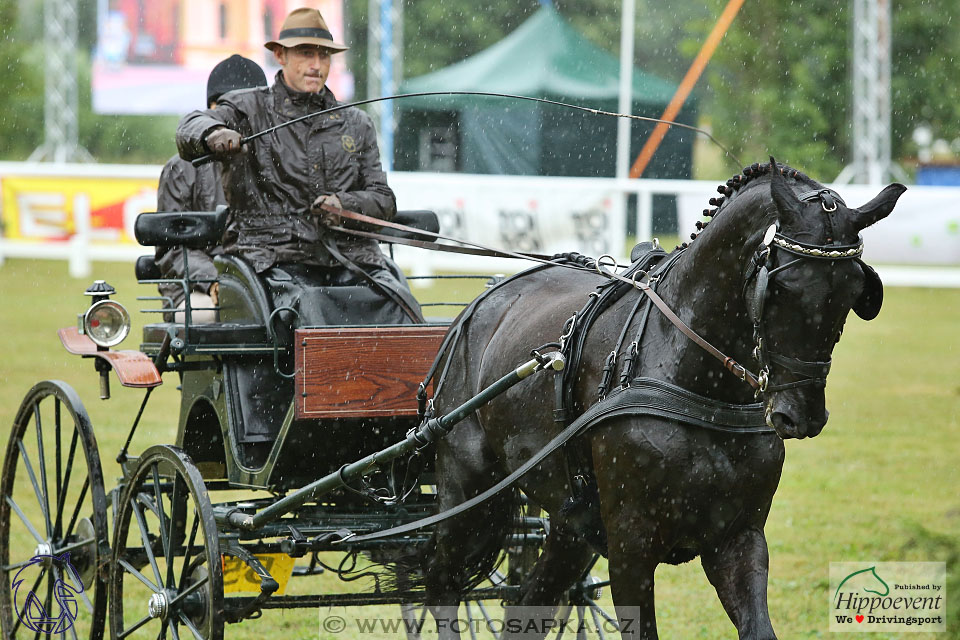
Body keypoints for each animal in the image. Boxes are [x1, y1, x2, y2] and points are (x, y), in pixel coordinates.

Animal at [422, 162, 908, 636]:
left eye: (853, 291)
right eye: (781, 288)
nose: (802, 415)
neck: (698, 387)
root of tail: (483, 302)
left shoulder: (738, 536)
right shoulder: (629, 547)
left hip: (570, 524)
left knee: (531, 601)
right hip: (470, 494)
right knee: (441, 581)